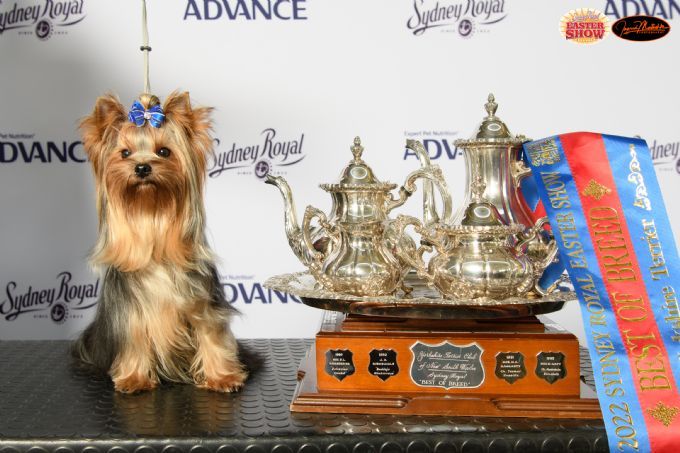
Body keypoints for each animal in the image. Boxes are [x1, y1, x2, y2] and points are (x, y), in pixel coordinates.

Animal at [73, 91, 247, 393]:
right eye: (125, 153)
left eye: (164, 151)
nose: (142, 167)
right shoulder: (130, 314)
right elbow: (134, 340)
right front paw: (134, 378)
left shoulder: (203, 304)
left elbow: (211, 334)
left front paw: (222, 377)